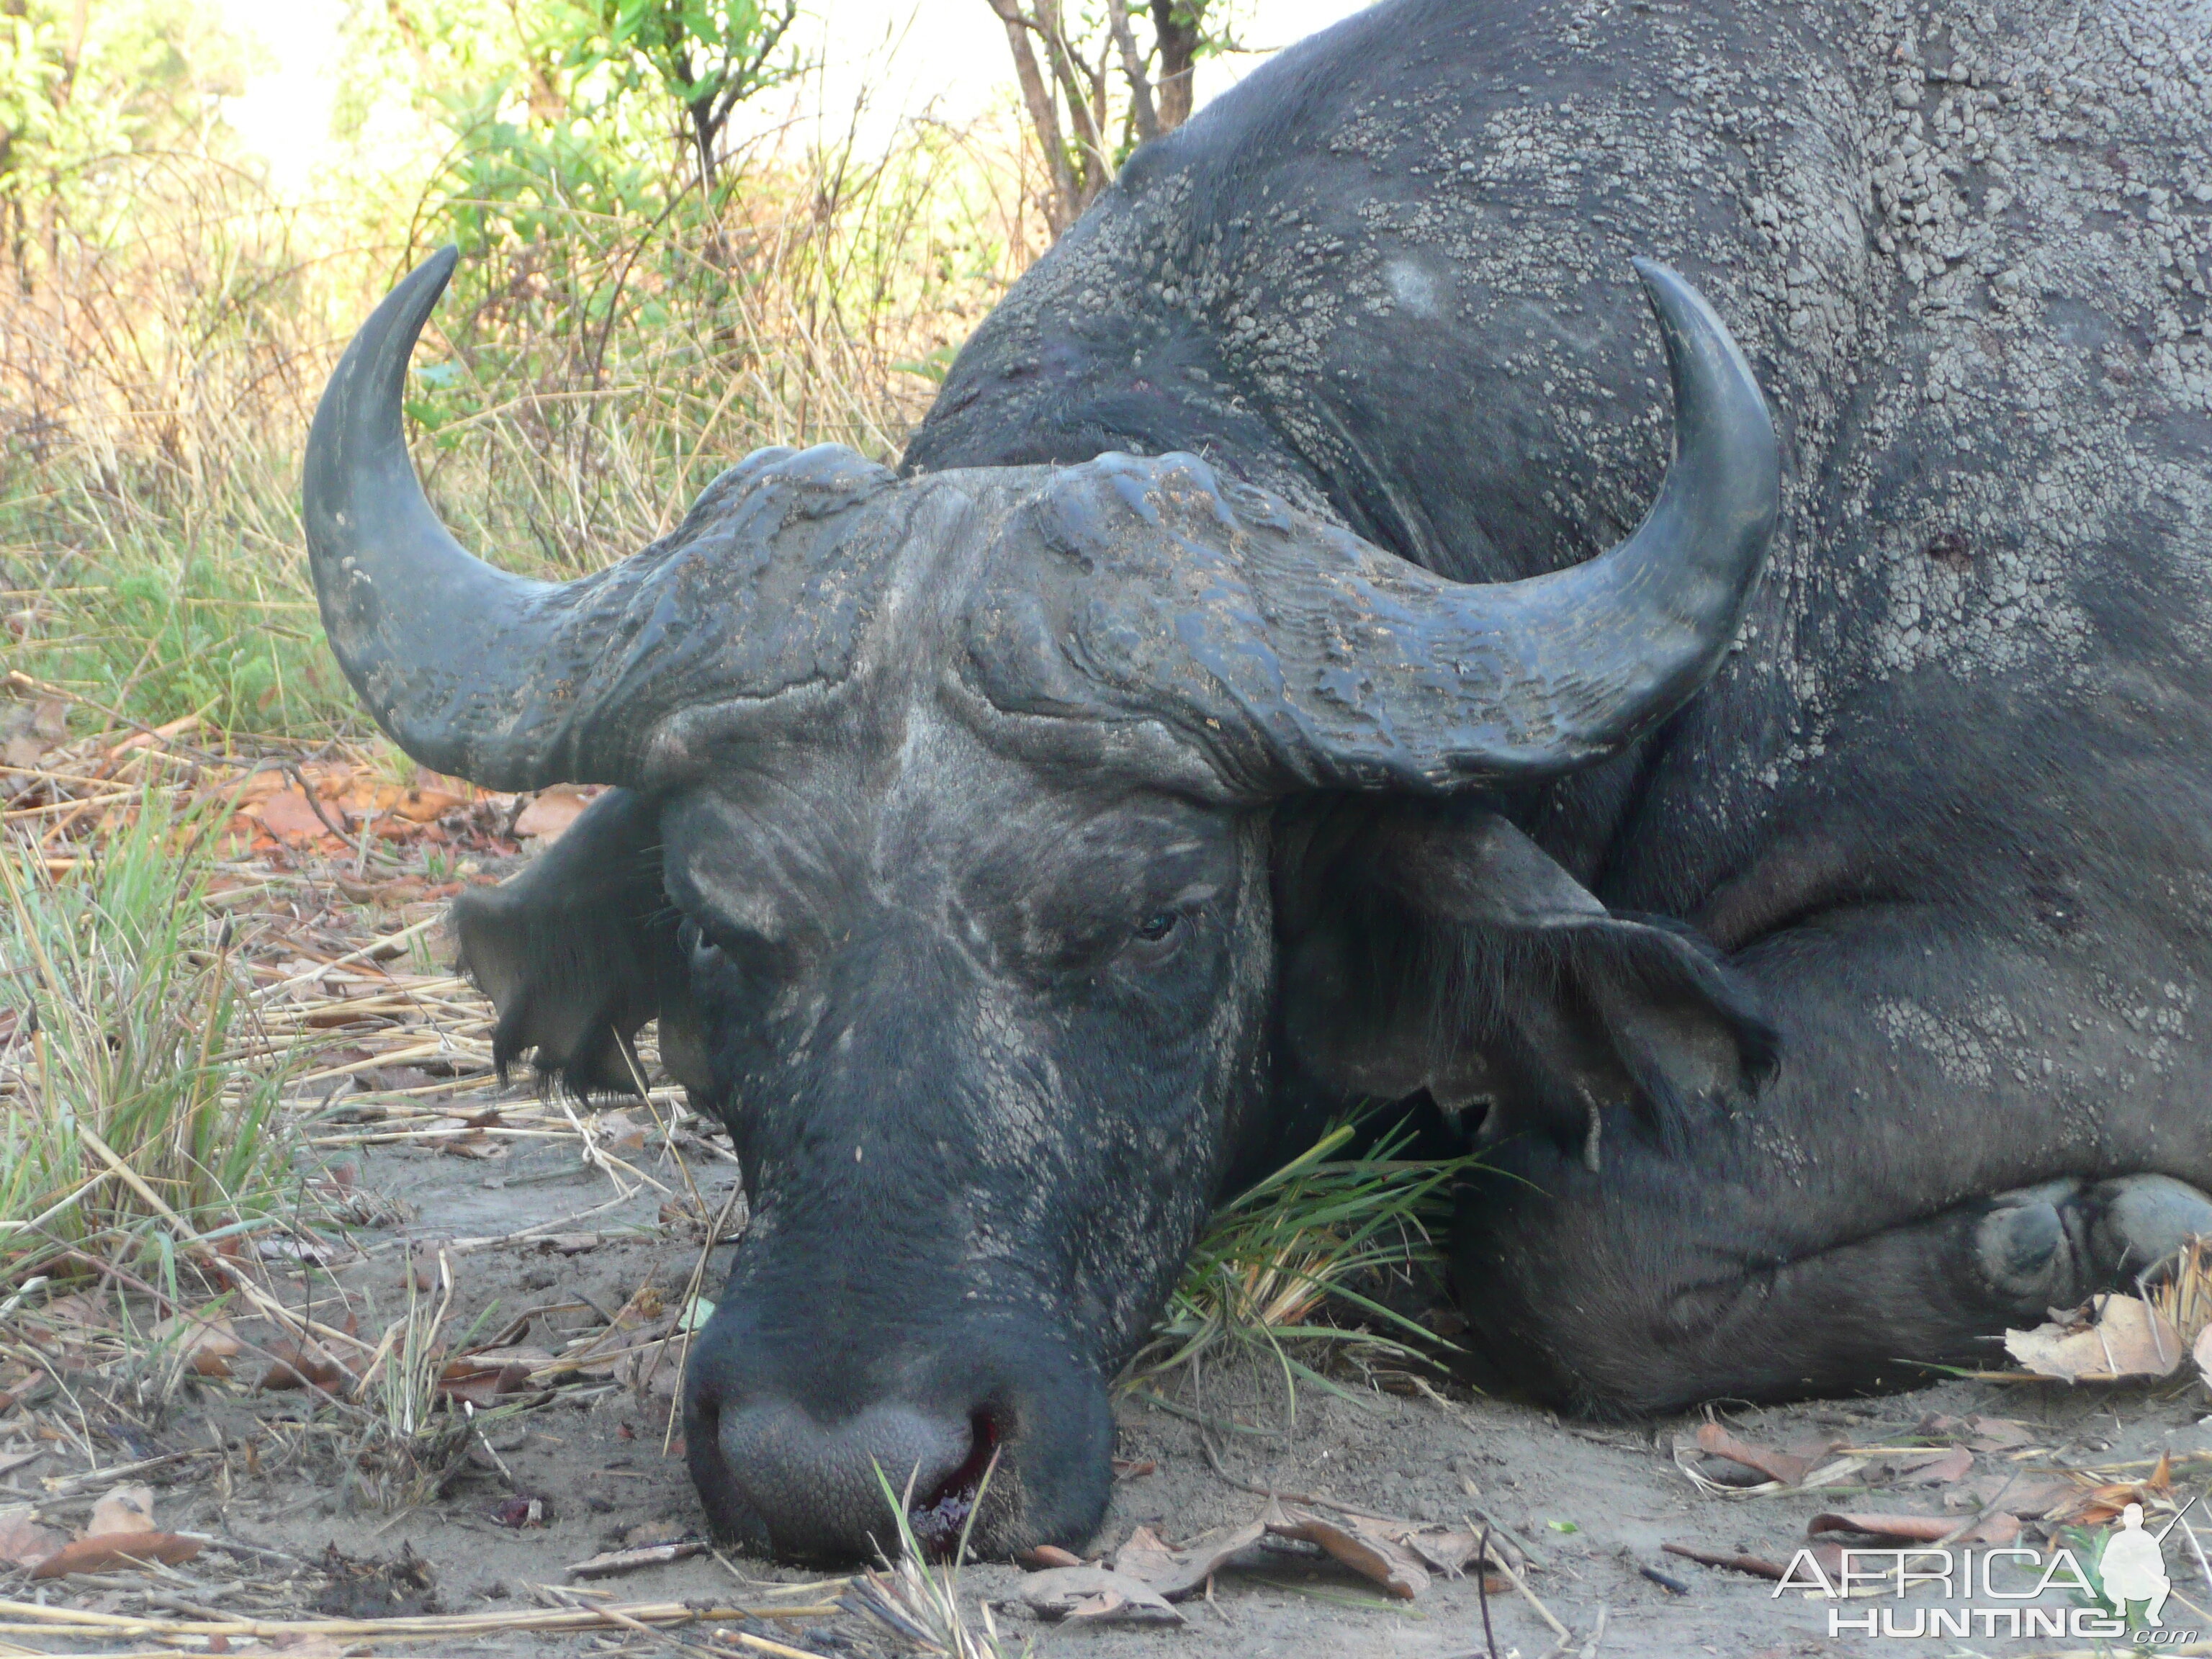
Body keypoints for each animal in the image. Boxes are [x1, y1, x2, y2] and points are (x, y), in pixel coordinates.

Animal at [302, 0, 2212, 1557]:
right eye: (715, 923)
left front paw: (2085, 1242)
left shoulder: (2085, 977)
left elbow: (1565, 1237)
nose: (834, 1469)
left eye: (1155, 918)